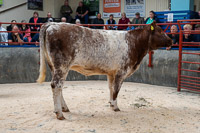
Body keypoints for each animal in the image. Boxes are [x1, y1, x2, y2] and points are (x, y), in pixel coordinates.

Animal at [37, 21, 172, 119]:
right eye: (160, 31)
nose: (171, 40)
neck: (134, 43)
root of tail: (52, 24)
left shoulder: (111, 73)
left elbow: (111, 88)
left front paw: (111, 103)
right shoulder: (121, 72)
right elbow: (116, 90)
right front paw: (115, 106)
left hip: (55, 67)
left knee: (59, 87)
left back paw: (64, 108)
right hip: (62, 65)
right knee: (56, 85)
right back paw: (59, 113)